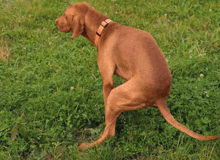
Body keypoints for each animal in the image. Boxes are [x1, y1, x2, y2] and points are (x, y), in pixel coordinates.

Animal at [55, 2, 218, 150]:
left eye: (65, 15)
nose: (55, 22)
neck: (104, 29)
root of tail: (161, 98)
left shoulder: (107, 81)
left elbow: (107, 109)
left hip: (115, 94)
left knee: (109, 133)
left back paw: (89, 145)